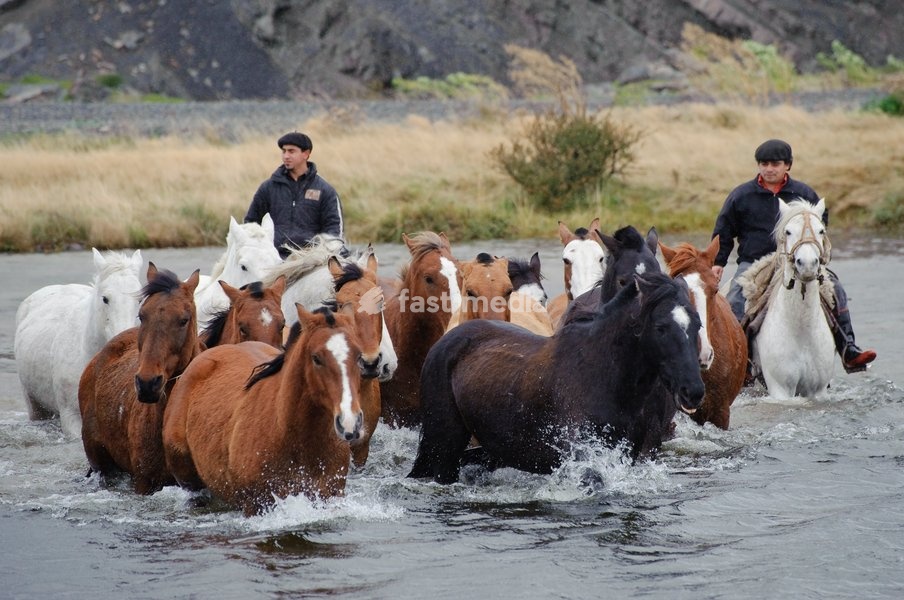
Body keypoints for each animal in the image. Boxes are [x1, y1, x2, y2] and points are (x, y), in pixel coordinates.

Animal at [408, 272, 706, 484]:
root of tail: (443, 344)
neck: (604, 377)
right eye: (661, 327)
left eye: (697, 324)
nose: (692, 390)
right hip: (443, 444)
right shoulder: (581, 454)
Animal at [738, 198, 835, 401]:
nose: (807, 264)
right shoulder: (781, 389)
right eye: (788, 231)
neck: (801, 329)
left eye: (821, 230)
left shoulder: (819, 390)